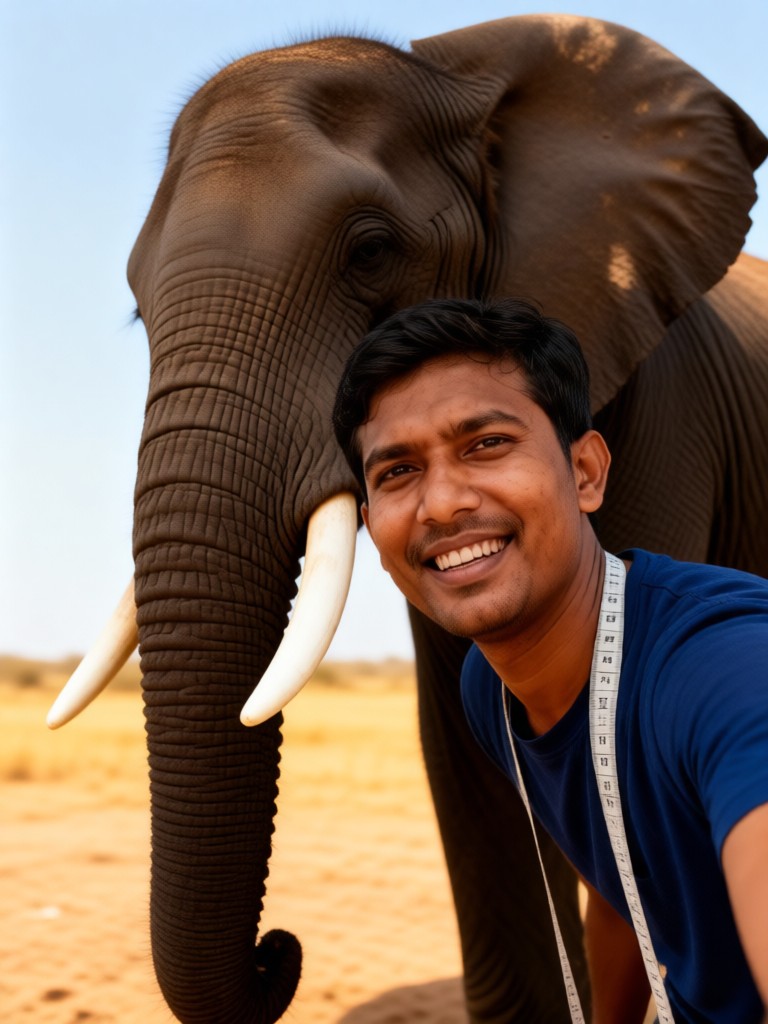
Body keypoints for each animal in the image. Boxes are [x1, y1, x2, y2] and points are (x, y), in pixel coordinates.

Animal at [49, 14, 768, 1024]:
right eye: (137, 303)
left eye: (369, 252)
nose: (279, 950)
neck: (451, 73)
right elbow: (465, 763)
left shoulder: (658, 403)